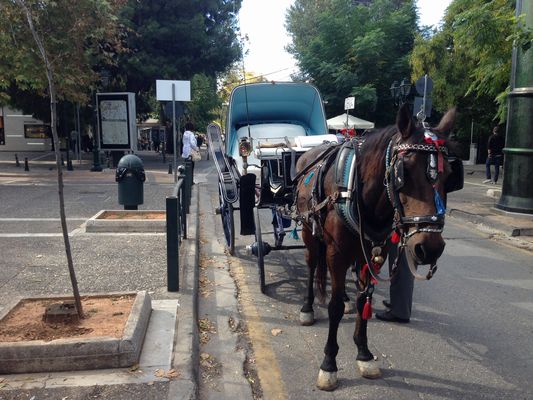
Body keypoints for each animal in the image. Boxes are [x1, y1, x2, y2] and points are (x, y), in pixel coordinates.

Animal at [294, 104, 456, 390]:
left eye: (448, 175)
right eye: (404, 173)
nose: (430, 248)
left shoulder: (372, 254)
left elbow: (363, 301)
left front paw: (364, 353)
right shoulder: (336, 253)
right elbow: (334, 308)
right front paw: (329, 363)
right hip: (309, 233)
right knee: (312, 265)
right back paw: (307, 308)